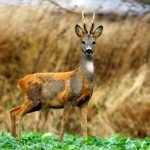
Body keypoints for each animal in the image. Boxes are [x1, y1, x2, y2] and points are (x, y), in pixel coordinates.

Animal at [9, 11, 103, 142]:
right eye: (82, 41)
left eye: (94, 42)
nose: (88, 50)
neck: (82, 78)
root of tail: (20, 82)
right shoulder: (68, 99)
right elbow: (64, 122)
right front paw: (60, 142)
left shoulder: (84, 102)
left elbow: (84, 125)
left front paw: (86, 142)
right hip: (32, 98)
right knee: (18, 115)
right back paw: (19, 140)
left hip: (36, 103)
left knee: (13, 111)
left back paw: (13, 139)